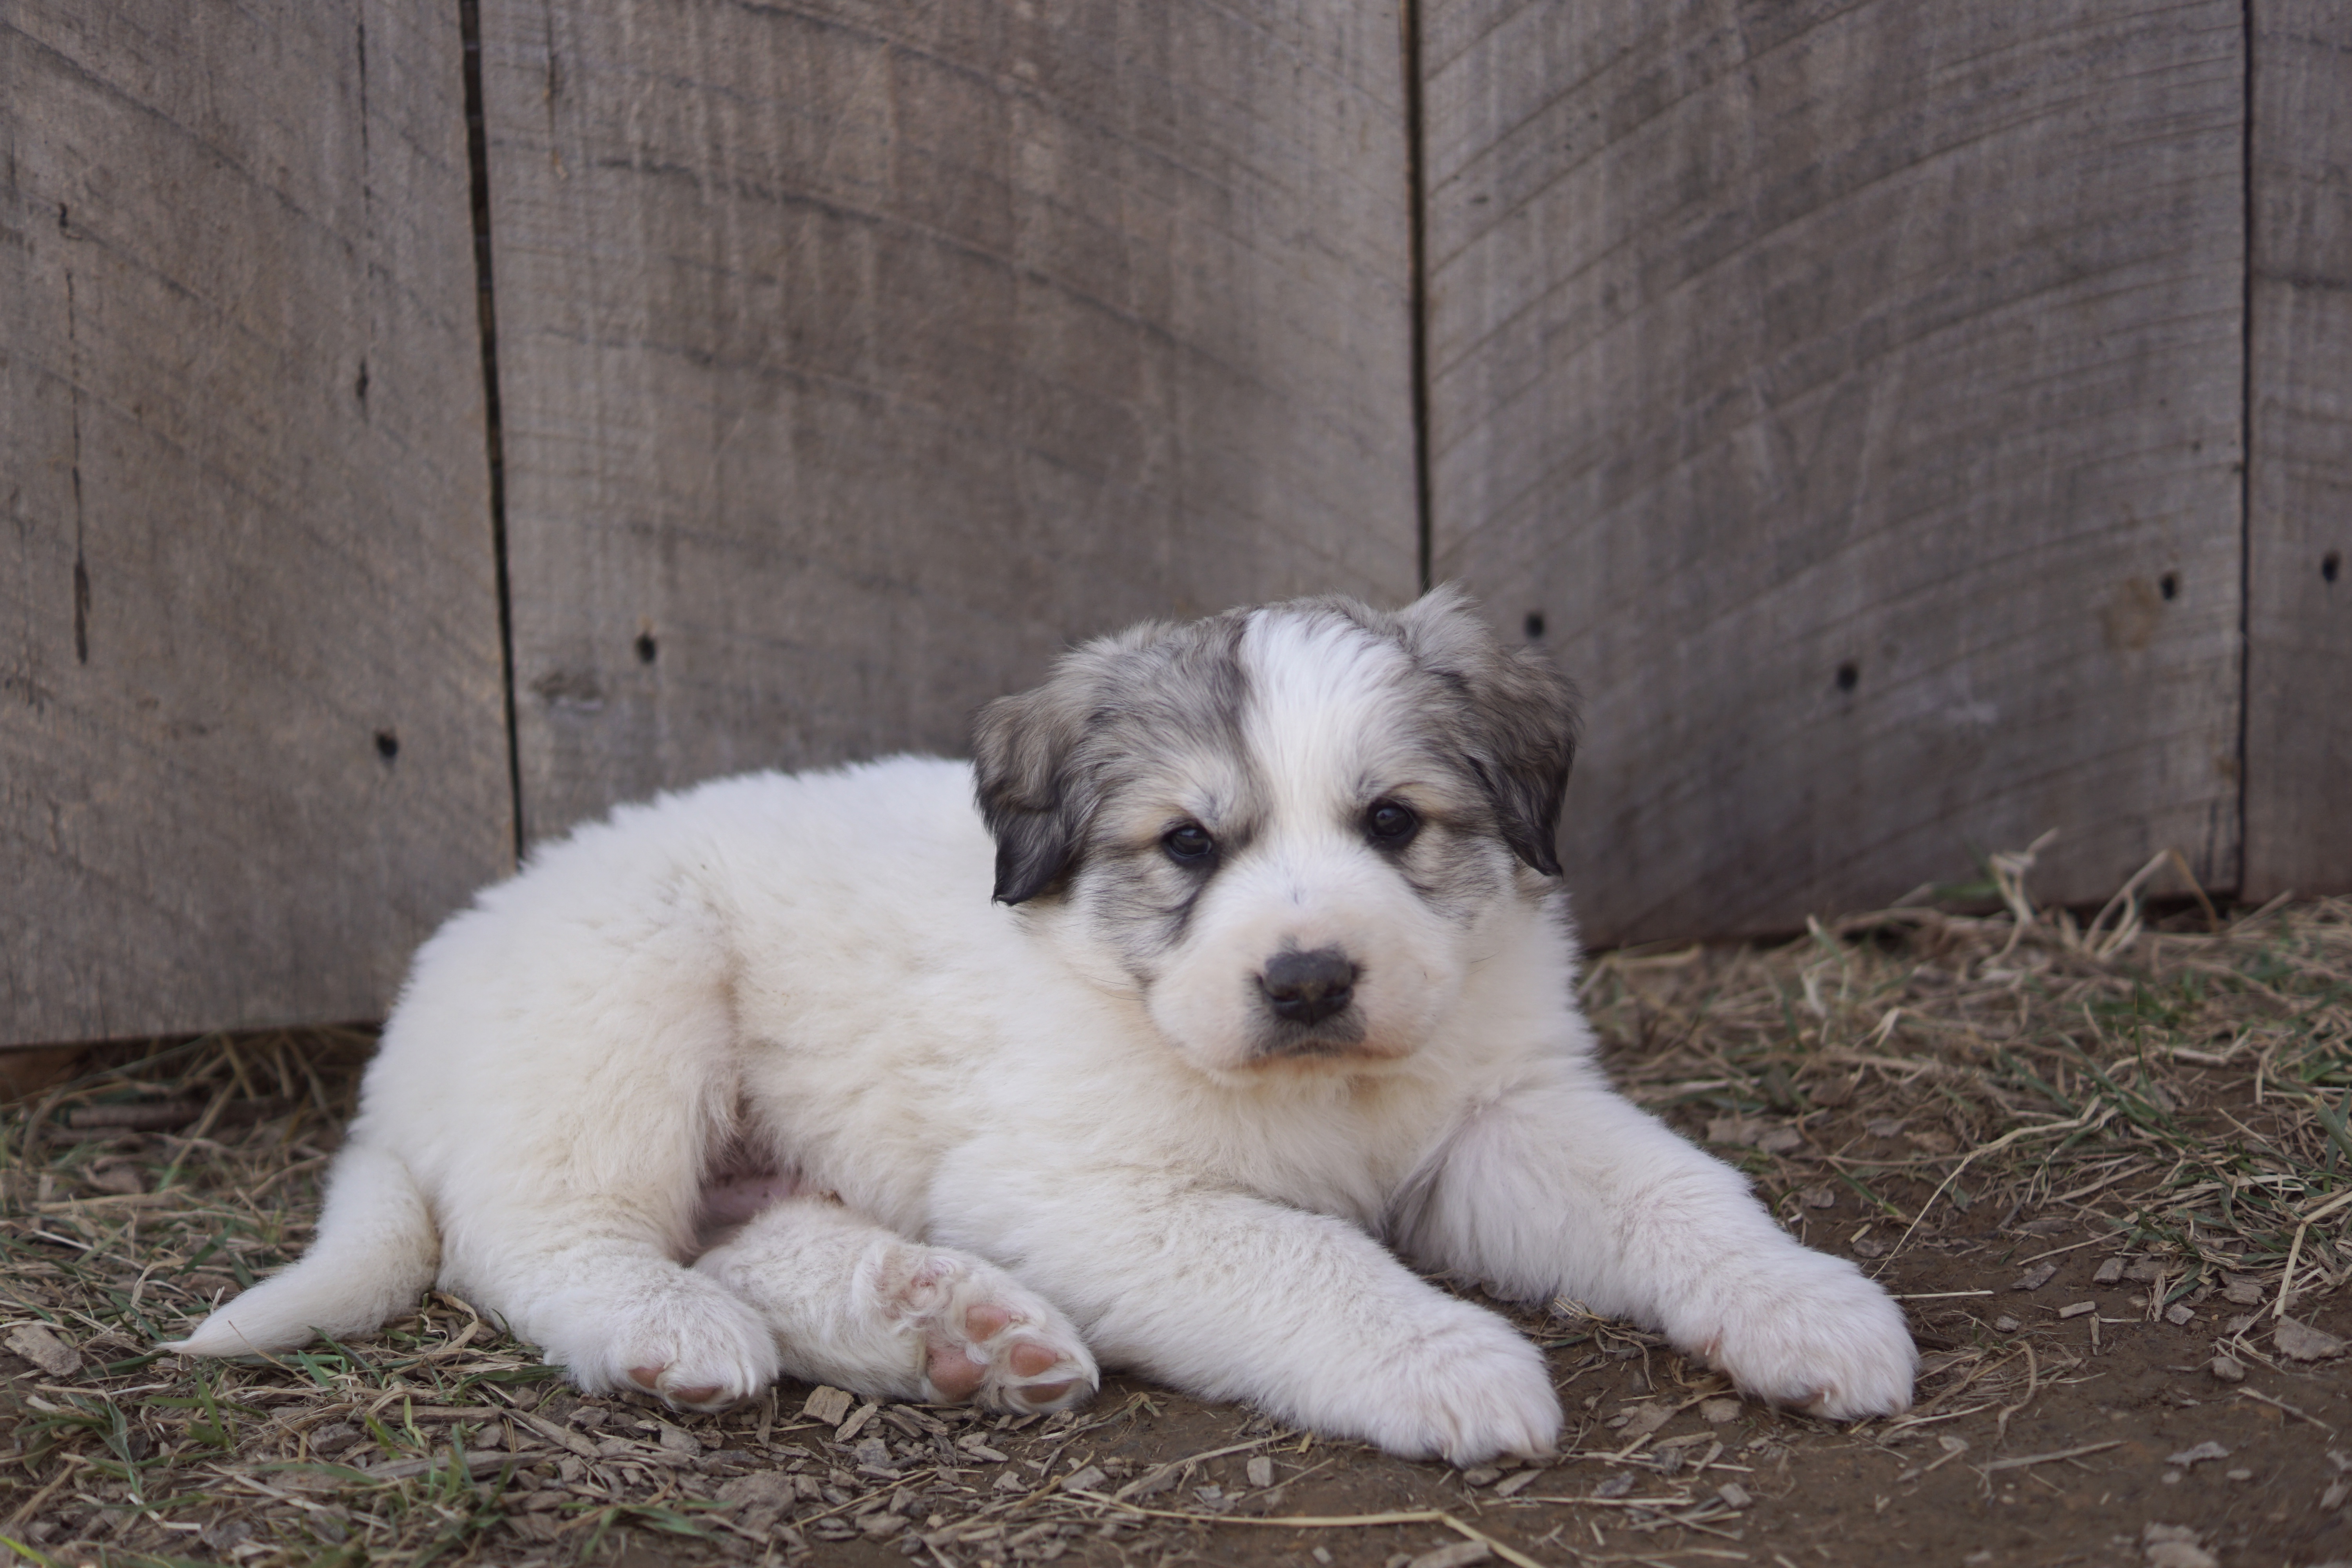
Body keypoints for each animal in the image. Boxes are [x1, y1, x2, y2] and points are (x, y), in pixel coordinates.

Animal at [174, 588, 1919, 1457]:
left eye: (1393, 822)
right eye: (1189, 845)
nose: (1309, 981)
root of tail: (412, 1031)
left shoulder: (1505, 1117)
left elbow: (1678, 1195)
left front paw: (1808, 1309)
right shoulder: (1082, 1191)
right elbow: (1308, 1257)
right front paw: (1449, 1363)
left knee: (754, 1238)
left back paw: (954, 1326)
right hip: (628, 993)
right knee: (542, 1238)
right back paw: (676, 1333)